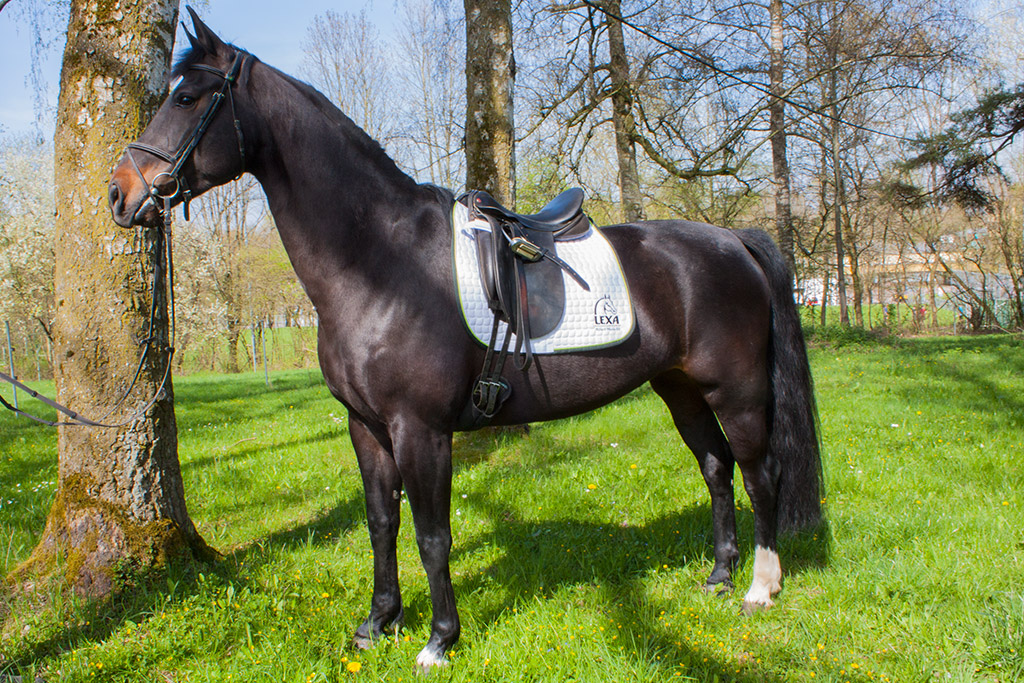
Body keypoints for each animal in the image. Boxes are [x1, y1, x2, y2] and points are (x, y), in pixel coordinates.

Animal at [108, 10, 823, 671]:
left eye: (187, 98)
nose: (119, 193)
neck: (380, 263)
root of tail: (732, 240)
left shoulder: (420, 429)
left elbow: (433, 536)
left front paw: (438, 640)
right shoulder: (367, 427)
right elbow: (381, 524)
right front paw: (378, 624)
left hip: (736, 391)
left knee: (759, 473)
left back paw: (760, 588)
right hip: (680, 390)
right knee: (717, 469)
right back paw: (719, 577)